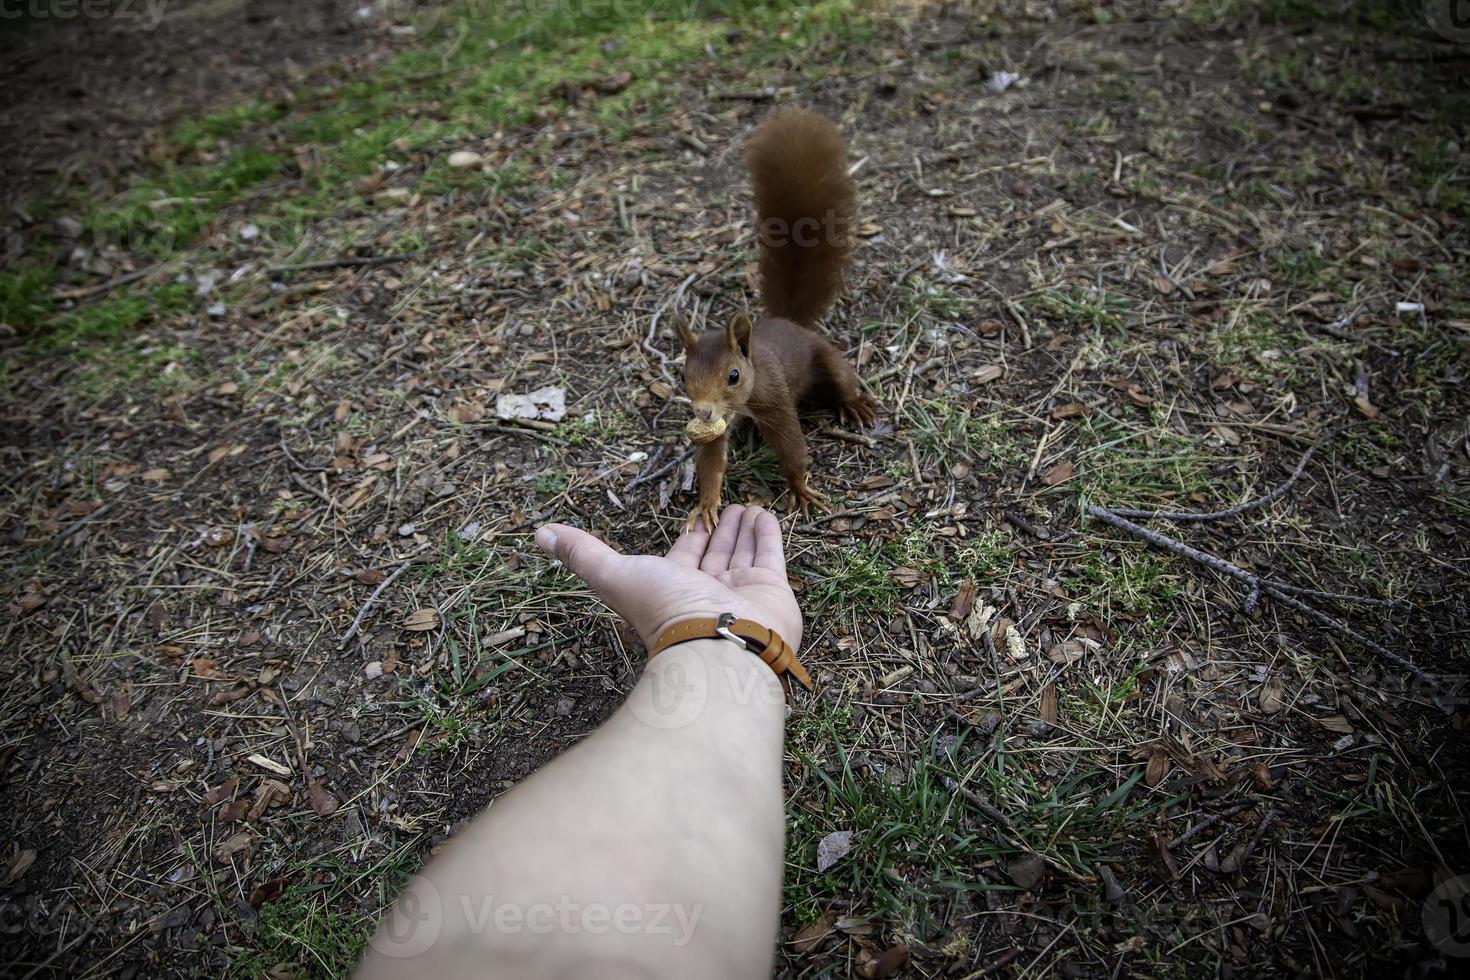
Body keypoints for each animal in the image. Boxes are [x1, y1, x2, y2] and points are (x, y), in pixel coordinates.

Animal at [673, 106, 870, 528]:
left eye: (733, 376)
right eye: (682, 376)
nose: (702, 411)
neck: (747, 394)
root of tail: (788, 322)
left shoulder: (775, 401)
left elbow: (792, 447)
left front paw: (799, 489)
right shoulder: (720, 422)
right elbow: (712, 460)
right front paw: (707, 504)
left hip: (824, 356)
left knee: (843, 377)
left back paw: (856, 404)